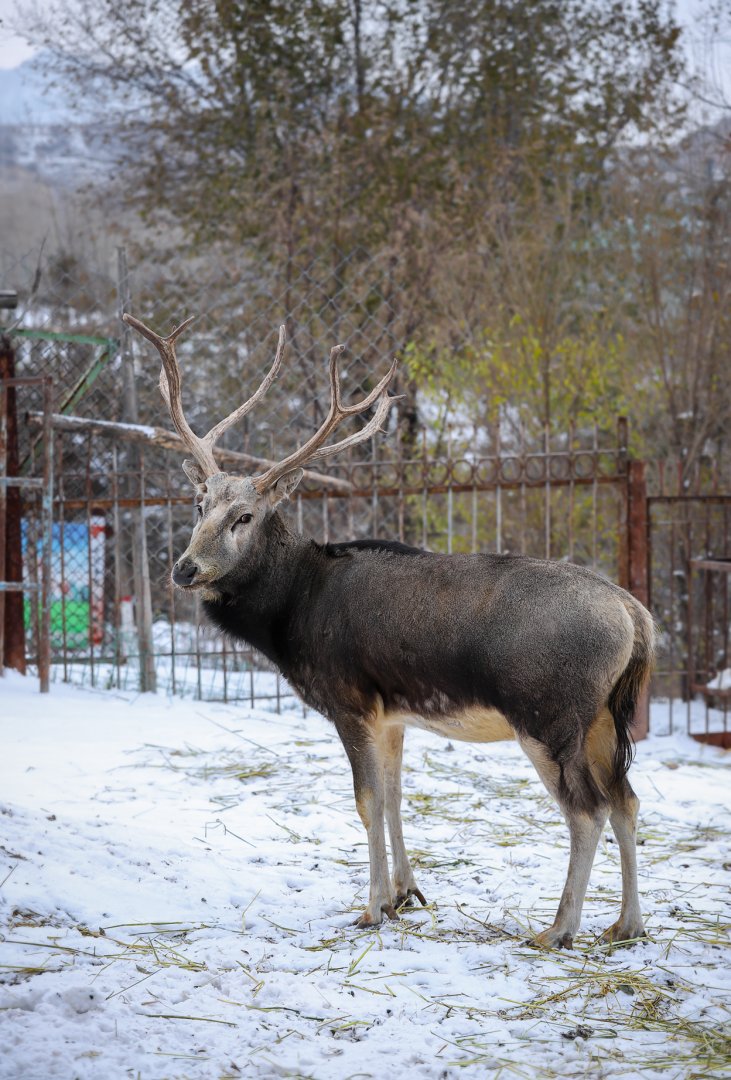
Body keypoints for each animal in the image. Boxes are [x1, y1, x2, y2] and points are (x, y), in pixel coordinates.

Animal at [123, 312, 653, 949]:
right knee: (627, 801)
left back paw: (558, 929)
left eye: (243, 516)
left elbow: (366, 800)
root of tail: (637, 618)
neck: (294, 611)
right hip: (603, 718)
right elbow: (397, 795)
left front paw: (372, 906)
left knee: (587, 810)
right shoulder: (394, 711)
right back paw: (626, 924)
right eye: (199, 504)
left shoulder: (348, 698)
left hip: (549, 715)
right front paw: (406, 893)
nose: (185, 569)